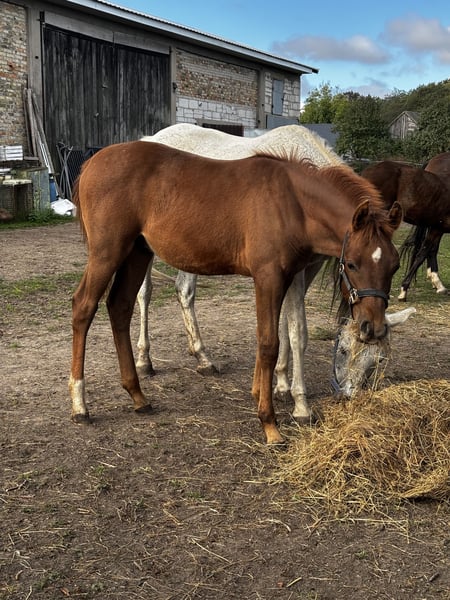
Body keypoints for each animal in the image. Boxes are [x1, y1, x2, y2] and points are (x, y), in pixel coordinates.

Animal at [70, 141, 402, 444]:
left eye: (394, 265)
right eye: (352, 263)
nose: (372, 327)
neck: (292, 202)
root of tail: (91, 163)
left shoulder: (285, 279)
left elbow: (278, 334)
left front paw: (265, 394)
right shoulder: (268, 277)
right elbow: (269, 342)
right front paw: (270, 423)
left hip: (137, 252)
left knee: (120, 306)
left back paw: (137, 395)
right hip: (107, 253)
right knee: (84, 307)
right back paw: (79, 404)